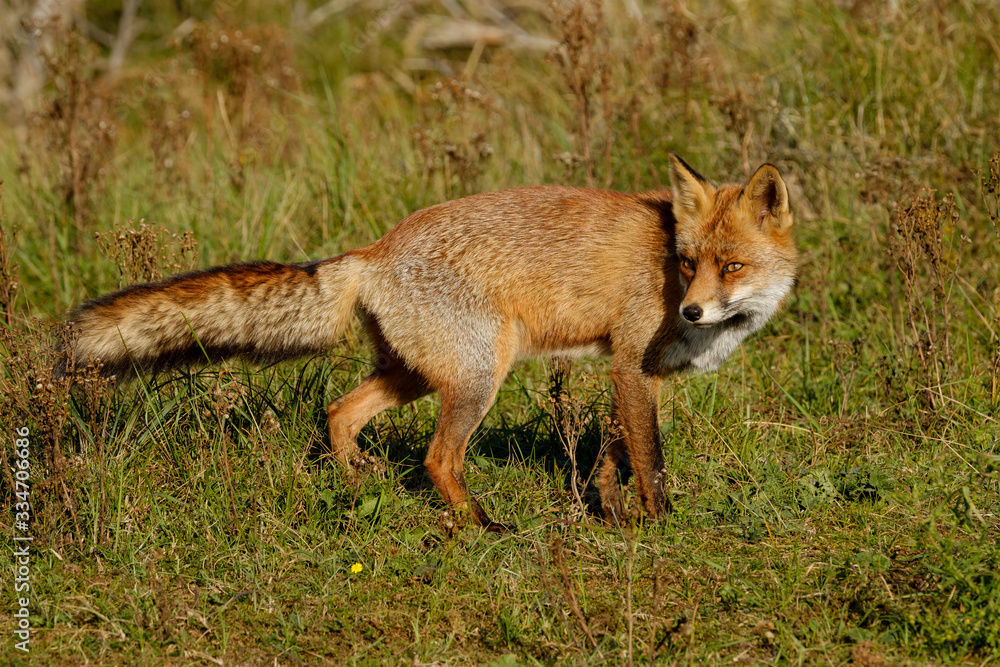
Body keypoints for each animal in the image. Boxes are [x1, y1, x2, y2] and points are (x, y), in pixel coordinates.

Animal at [64, 155, 796, 528]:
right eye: (687, 264)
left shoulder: (638, 377)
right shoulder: (631, 367)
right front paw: (661, 525)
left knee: (339, 411)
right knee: (438, 458)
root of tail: (372, 251)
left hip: (414, 373)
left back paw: (357, 483)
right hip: (477, 377)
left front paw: (613, 515)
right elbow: (650, 461)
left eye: (731, 266)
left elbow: (615, 456)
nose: (694, 310)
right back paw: (484, 525)